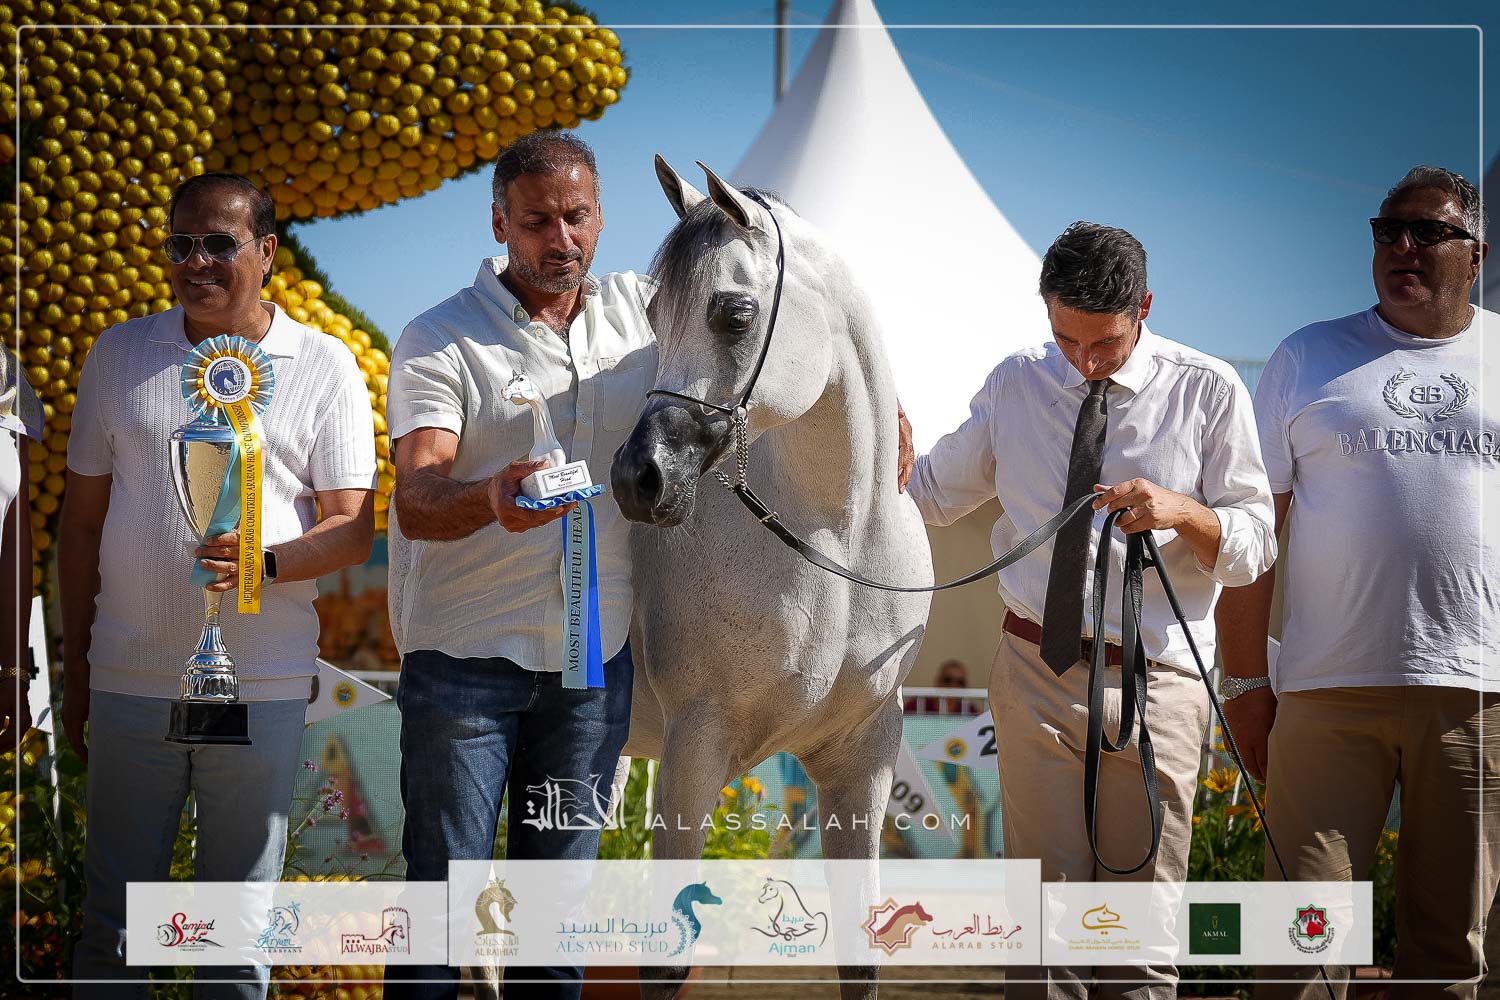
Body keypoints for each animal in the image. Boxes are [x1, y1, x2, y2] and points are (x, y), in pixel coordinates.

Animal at [611, 156, 933, 999]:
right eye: (654, 312)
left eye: (733, 314)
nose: (638, 479)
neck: (836, 546)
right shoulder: (693, 756)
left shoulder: (861, 764)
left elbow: (860, 956)